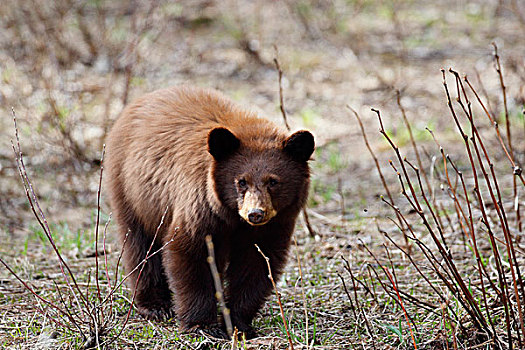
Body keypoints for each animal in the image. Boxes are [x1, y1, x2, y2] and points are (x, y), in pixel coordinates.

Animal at [104, 85, 314, 340]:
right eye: (241, 181)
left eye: (273, 182)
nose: (255, 213)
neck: (233, 218)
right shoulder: (200, 206)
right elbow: (191, 253)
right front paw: (202, 325)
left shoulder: (275, 224)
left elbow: (256, 264)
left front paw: (238, 323)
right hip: (131, 192)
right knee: (140, 246)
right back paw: (155, 306)